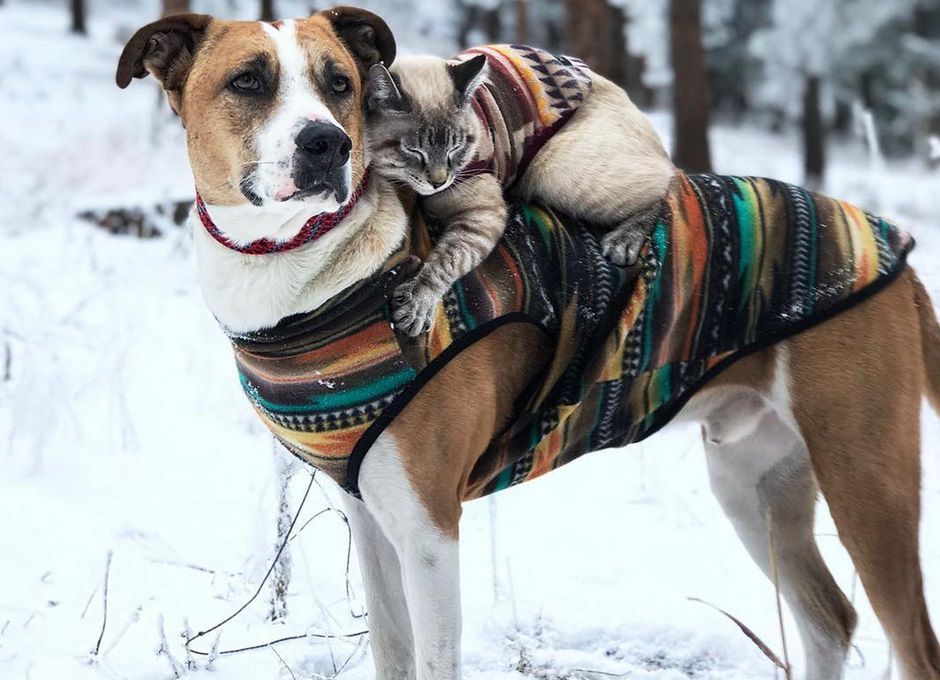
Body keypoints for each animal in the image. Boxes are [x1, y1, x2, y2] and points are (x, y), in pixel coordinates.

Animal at [364, 45, 672, 338]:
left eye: (456, 147)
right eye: (413, 151)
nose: (439, 183)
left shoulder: (484, 213)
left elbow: (445, 262)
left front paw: (416, 305)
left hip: (553, 171)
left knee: (664, 178)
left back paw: (624, 242)